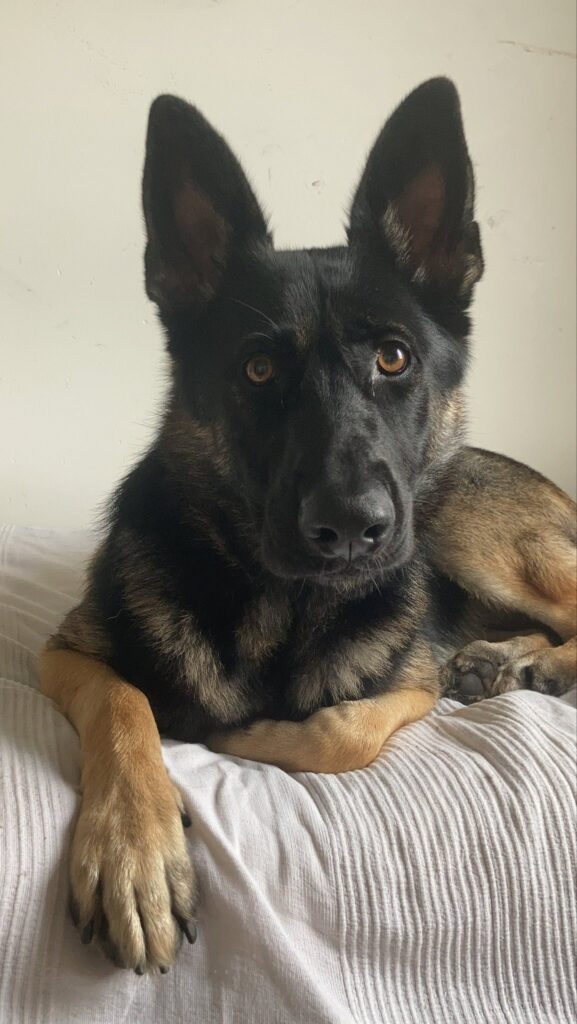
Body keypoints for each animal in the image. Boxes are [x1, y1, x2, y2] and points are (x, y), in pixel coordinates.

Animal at [39, 78, 577, 974]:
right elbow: (125, 703)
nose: (351, 526)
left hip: (467, 529)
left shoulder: (406, 686)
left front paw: (241, 738)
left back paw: (524, 662)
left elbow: (343, 733)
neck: (279, 607)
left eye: (393, 359)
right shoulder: (65, 653)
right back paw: (507, 660)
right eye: (258, 369)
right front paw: (131, 851)